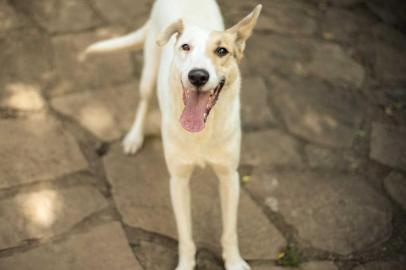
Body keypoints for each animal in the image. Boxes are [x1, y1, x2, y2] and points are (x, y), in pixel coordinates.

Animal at [84, 1, 262, 268]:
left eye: (222, 51)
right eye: (185, 47)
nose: (197, 76)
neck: (201, 131)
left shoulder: (229, 177)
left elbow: (230, 231)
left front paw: (233, 261)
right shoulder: (178, 180)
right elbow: (186, 235)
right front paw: (186, 263)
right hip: (149, 72)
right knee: (143, 100)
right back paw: (134, 137)